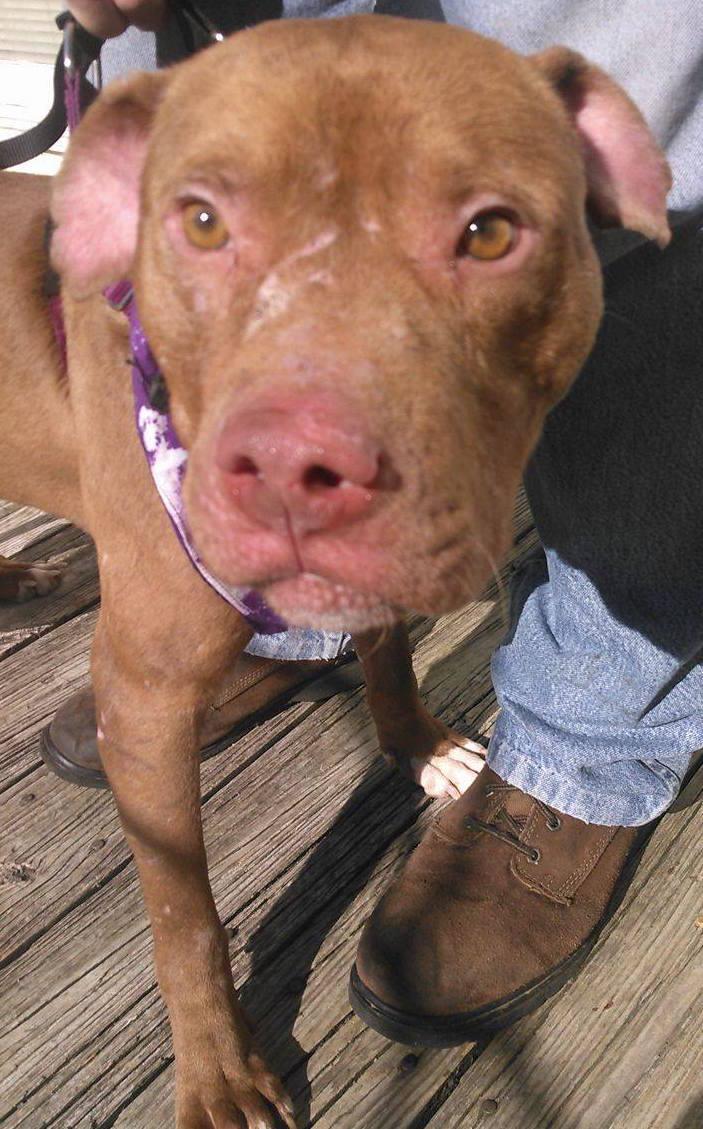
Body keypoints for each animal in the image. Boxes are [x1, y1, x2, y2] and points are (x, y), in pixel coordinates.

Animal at [1, 17, 672, 1129]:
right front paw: (221, 1074)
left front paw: (420, 747)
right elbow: (185, 913)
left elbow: (387, 653)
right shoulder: (143, 702)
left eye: (490, 232)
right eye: (200, 221)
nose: (294, 468)